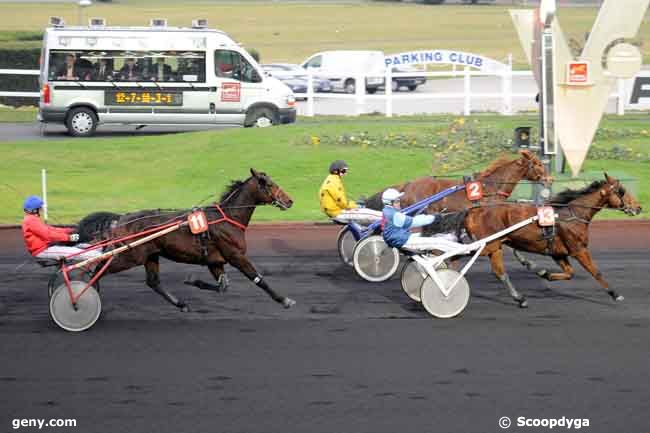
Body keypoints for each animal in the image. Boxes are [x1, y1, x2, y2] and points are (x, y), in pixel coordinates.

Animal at [76, 169, 296, 310]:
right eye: (269, 184)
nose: (289, 201)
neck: (228, 218)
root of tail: (121, 218)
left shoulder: (214, 261)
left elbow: (222, 286)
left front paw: (192, 281)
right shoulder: (235, 255)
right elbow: (258, 279)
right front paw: (284, 300)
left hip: (150, 255)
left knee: (153, 282)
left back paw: (180, 304)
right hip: (130, 256)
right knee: (99, 269)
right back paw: (84, 295)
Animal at [460, 173, 636, 308]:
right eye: (621, 191)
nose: (638, 207)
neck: (572, 215)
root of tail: (474, 211)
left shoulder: (558, 253)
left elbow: (569, 273)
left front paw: (545, 273)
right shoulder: (579, 250)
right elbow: (596, 272)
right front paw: (615, 294)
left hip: (495, 246)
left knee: (499, 272)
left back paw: (520, 298)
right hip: (489, 245)